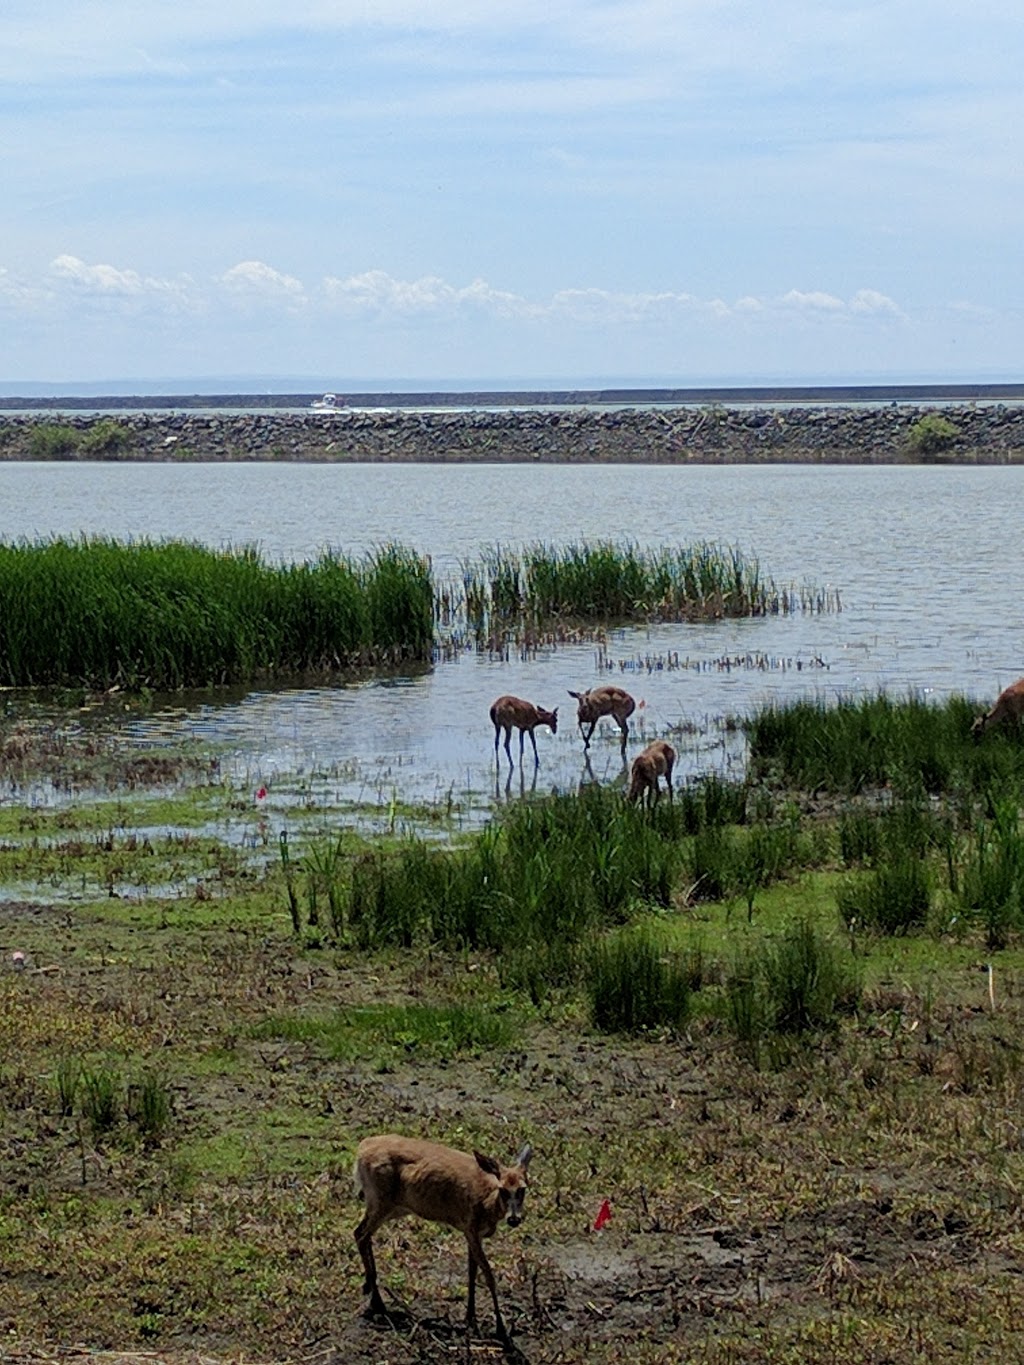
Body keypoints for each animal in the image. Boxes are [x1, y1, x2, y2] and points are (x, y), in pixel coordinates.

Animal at [352, 1130, 532, 1343]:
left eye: (522, 1189)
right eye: (503, 1189)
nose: (514, 1219)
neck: (487, 1202)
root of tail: (361, 1148)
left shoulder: (471, 1233)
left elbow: (471, 1273)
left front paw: (470, 1317)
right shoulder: (470, 1227)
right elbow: (488, 1276)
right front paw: (500, 1329)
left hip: (393, 1207)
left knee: (361, 1233)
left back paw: (370, 1291)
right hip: (381, 1201)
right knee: (361, 1235)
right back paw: (377, 1301)